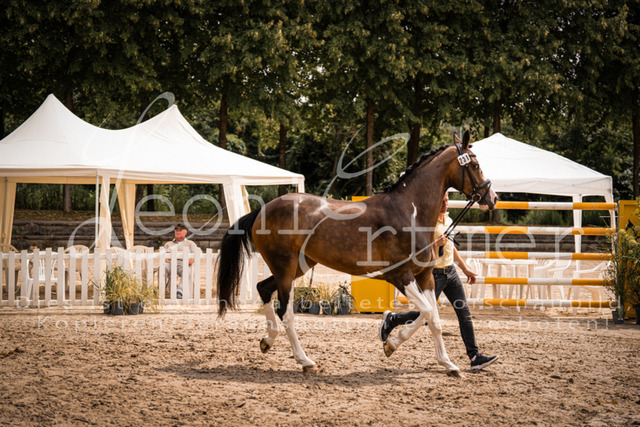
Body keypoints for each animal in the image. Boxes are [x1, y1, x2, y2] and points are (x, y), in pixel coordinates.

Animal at [216, 131, 498, 377]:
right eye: (475, 165)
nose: (492, 198)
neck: (410, 212)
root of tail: (262, 211)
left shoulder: (425, 276)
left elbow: (433, 318)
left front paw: (446, 364)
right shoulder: (401, 276)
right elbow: (428, 313)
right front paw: (393, 344)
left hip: (298, 266)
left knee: (263, 288)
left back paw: (267, 340)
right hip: (285, 268)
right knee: (285, 311)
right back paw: (305, 361)